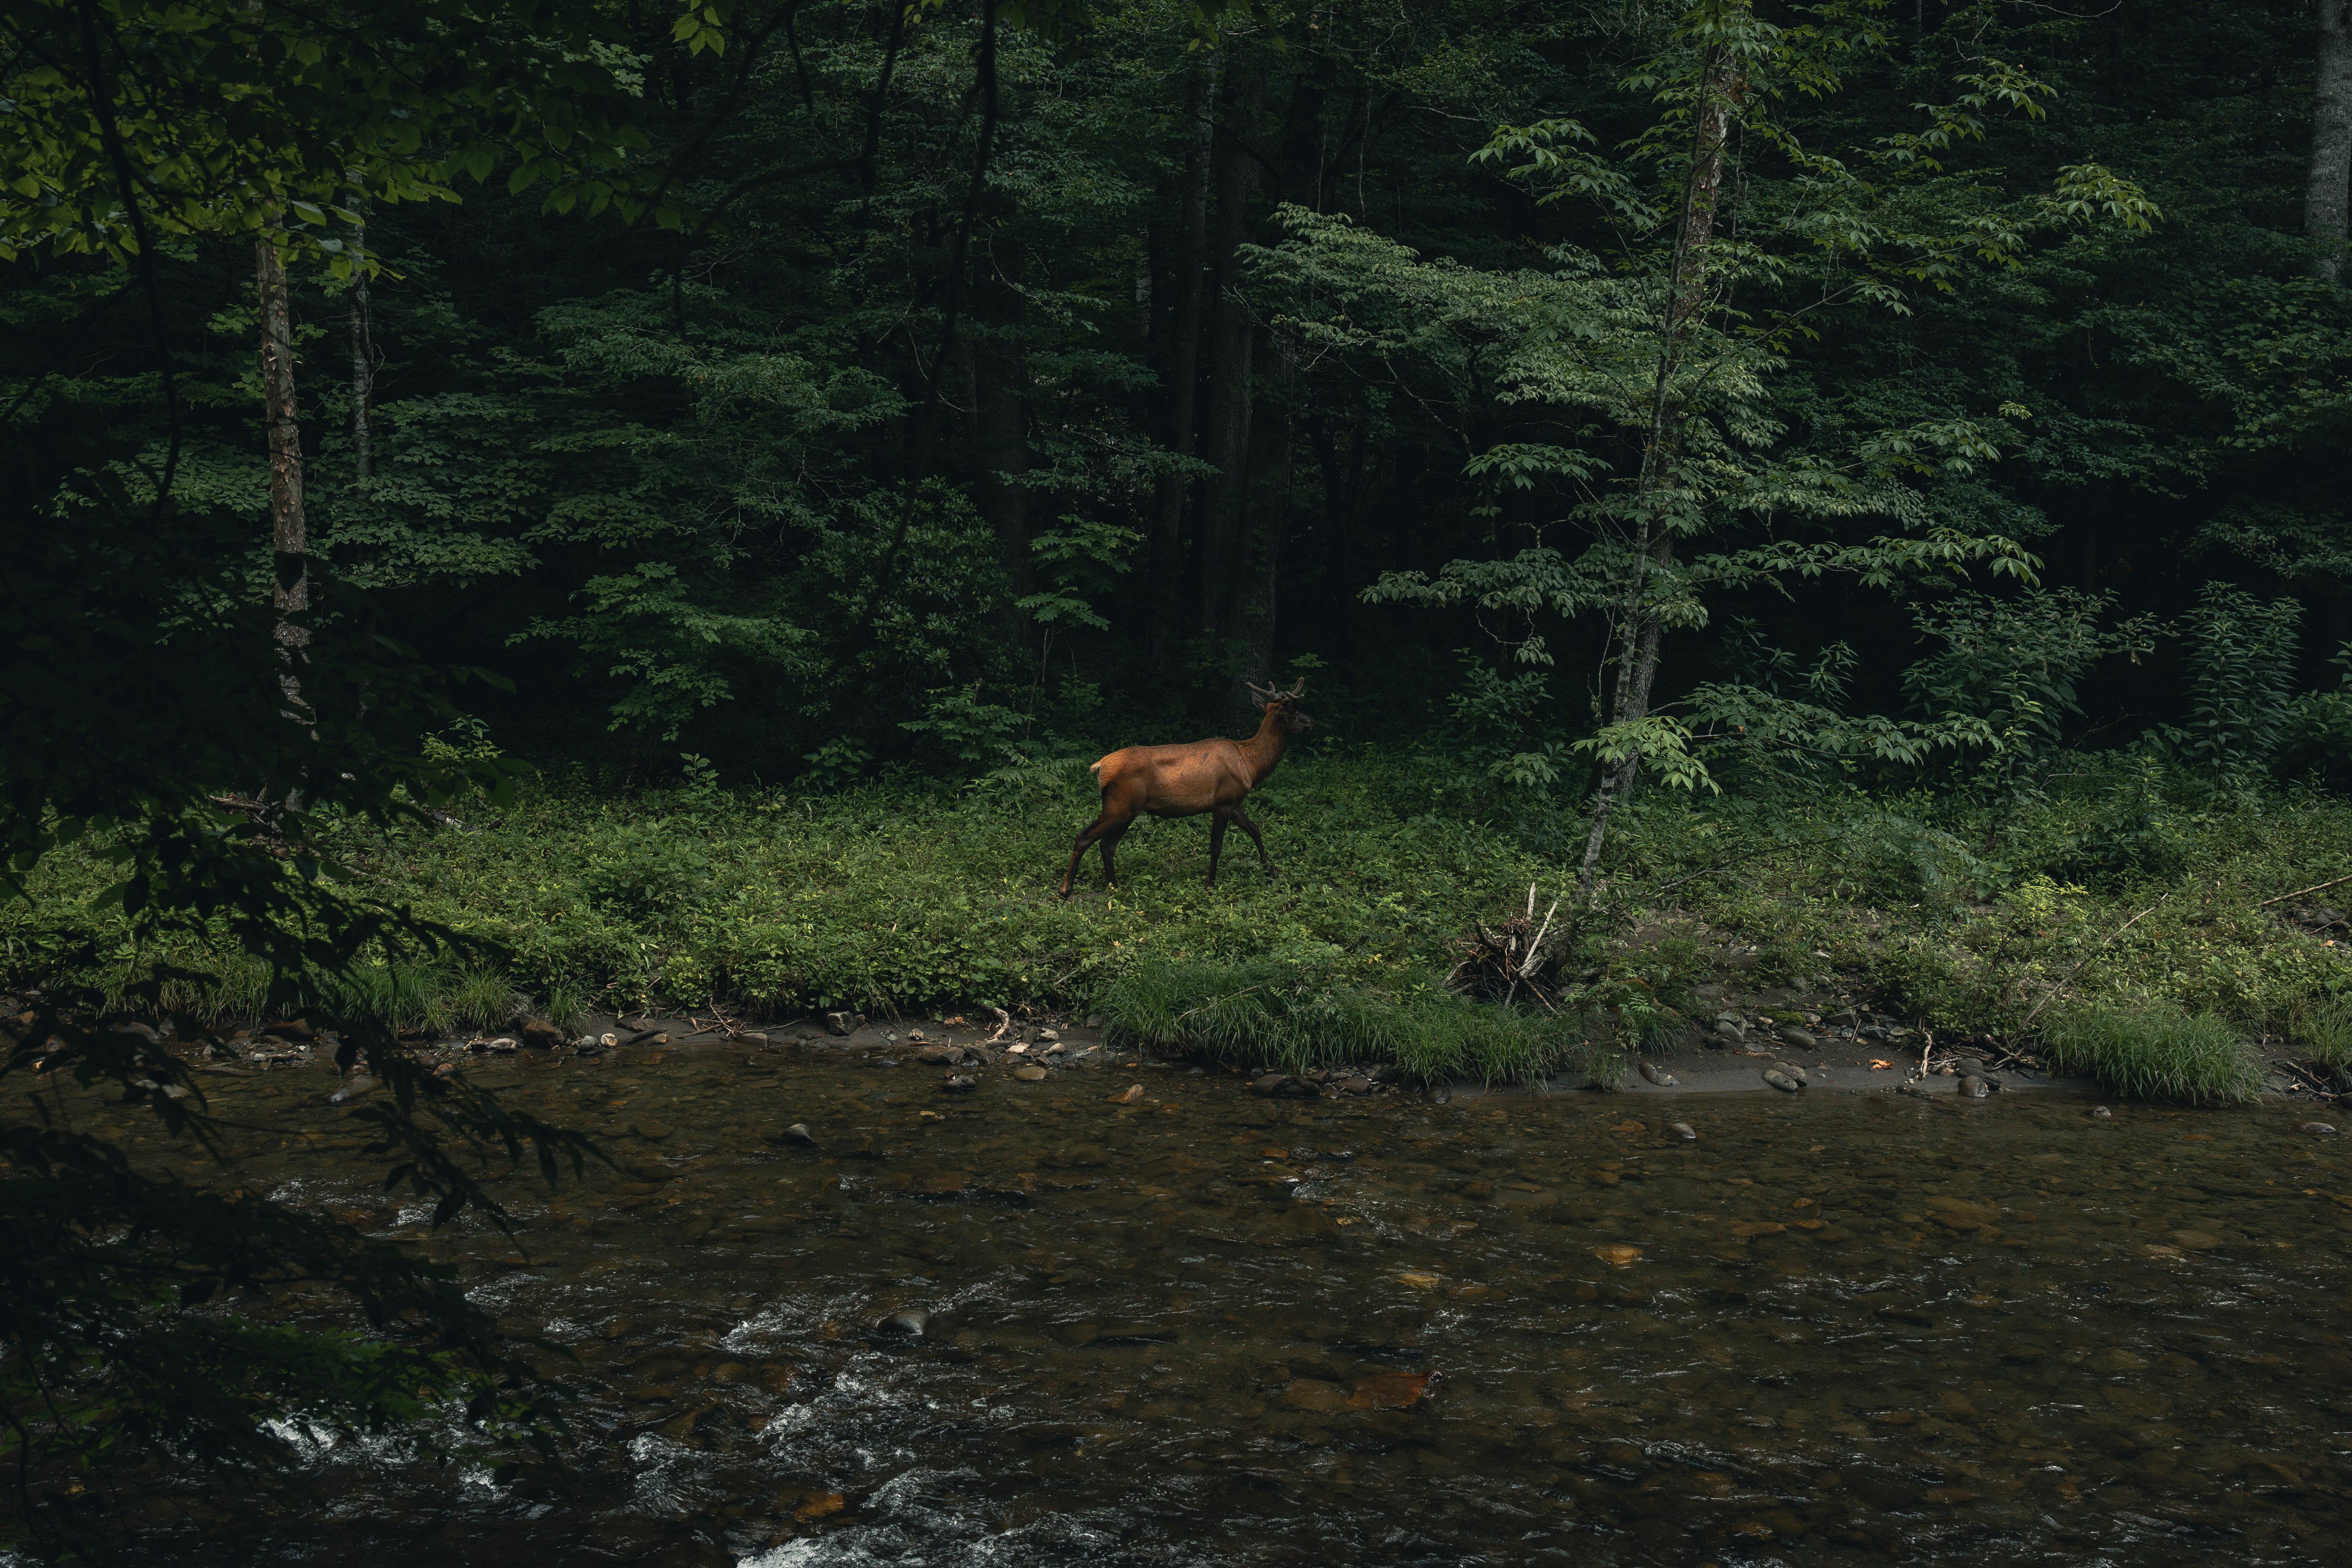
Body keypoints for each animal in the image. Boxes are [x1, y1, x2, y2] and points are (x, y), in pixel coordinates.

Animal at [1058, 679, 1314, 896]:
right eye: (1293, 713)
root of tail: (1100, 766)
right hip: (1119, 806)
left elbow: (1255, 830)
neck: (1250, 765)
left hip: (1128, 810)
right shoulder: (1223, 802)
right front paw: (1210, 886)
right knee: (1084, 837)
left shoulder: (1234, 802)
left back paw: (1115, 885)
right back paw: (1066, 889)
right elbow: (1216, 846)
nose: (1311, 722)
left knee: (1107, 845)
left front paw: (1271, 871)